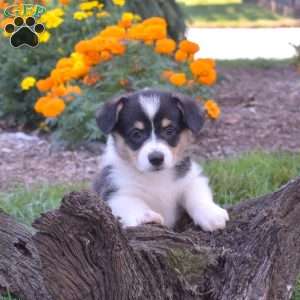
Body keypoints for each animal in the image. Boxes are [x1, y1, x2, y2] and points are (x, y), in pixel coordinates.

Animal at [94, 88, 230, 231]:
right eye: (136, 134)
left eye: (169, 131)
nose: (156, 158)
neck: (157, 177)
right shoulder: (116, 192)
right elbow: (133, 205)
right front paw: (146, 218)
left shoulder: (191, 178)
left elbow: (196, 195)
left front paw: (211, 215)